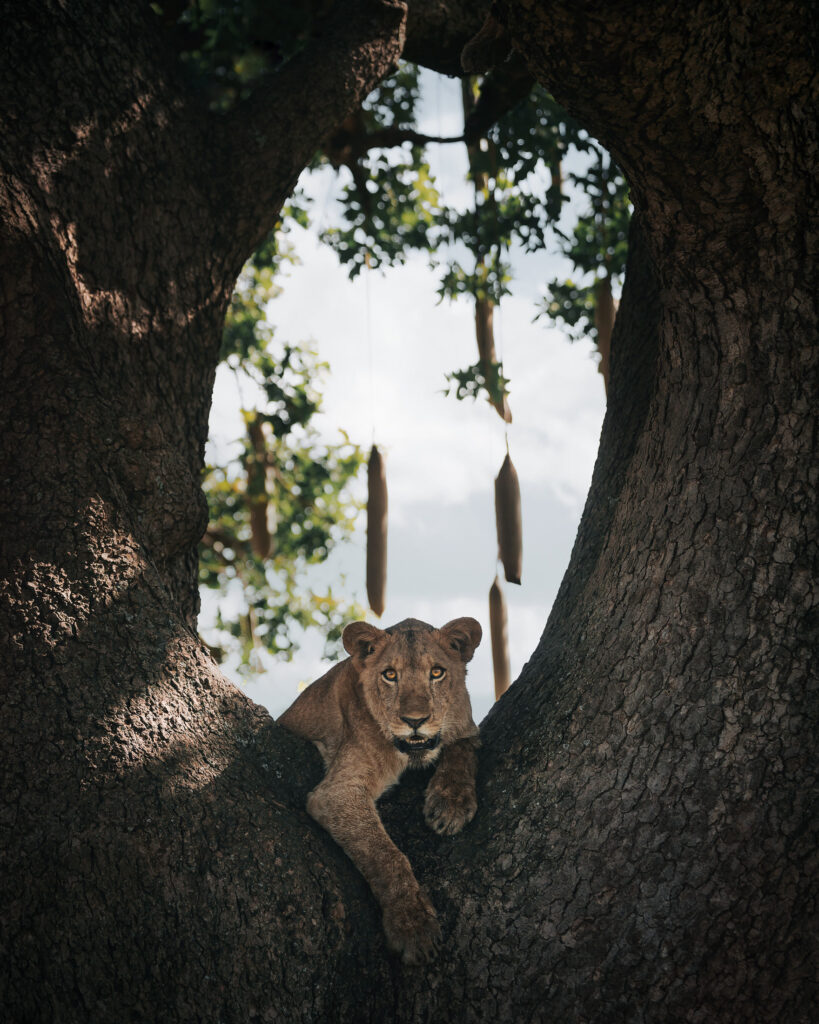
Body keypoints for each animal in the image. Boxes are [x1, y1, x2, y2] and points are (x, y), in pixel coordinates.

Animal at [278, 616, 482, 963]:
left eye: (437, 672)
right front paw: (413, 926)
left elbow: (462, 749)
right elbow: (386, 855)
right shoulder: (337, 791)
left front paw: (450, 805)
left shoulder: (467, 728)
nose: (415, 721)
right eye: (390, 675)